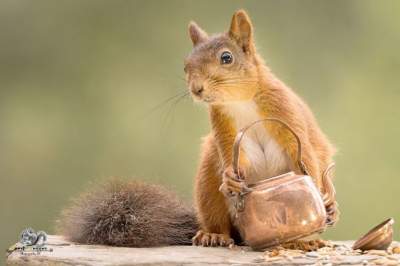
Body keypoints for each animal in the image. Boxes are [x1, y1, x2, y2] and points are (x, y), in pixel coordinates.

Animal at [58, 9, 338, 248]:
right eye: (186, 65)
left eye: (227, 58)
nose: (196, 89)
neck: (240, 101)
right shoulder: (223, 127)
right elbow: (235, 158)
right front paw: (231, 178)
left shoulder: (284, 112)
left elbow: (304, 156)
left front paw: (319, 200)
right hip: (208, 182)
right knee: (219, 219)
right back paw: (213, 235)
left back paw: (312, 231)